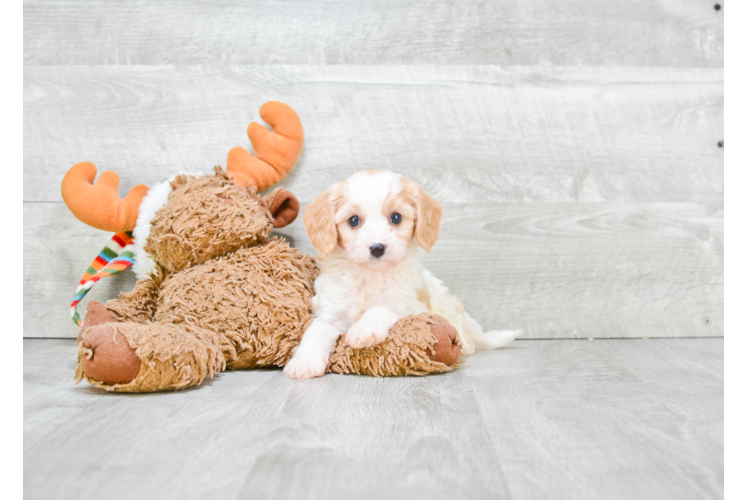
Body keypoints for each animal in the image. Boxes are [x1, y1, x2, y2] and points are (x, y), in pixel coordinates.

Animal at [284, 172, 524, 378]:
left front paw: (364, 329)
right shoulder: (331, 311)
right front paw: (303, 363)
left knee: (457, 323)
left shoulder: (409, 307)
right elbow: (317, 331)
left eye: (396, 217)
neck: (369, 276)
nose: (377, 248)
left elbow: (381, 309)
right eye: (353, 220)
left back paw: (466, 342)